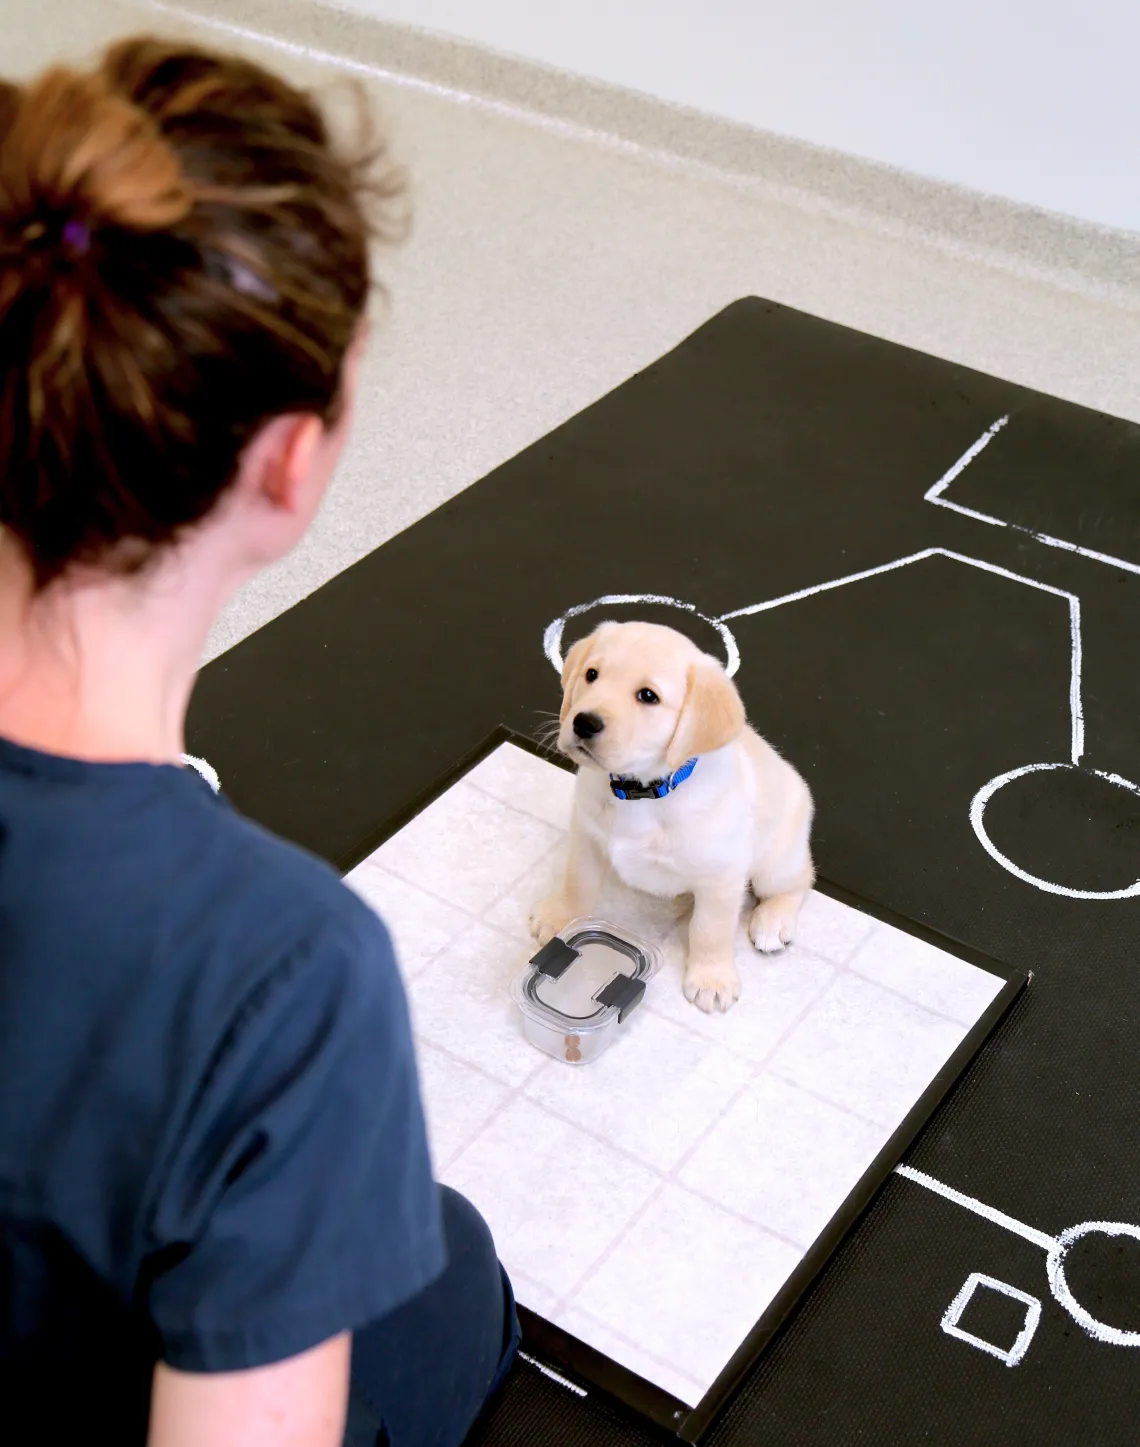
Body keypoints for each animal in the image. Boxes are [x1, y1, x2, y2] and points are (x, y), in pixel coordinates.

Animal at [529, 625, 815, 1018]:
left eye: (648, 696)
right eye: (591, 674)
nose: (583, 722)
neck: (642, 791)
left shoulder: (721, 876)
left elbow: (710, 929)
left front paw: (712, 979)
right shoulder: (586, 837)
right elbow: (578, 883)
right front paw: (559, 918)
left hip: (775, 861)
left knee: (800, 879)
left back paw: (773, 921)